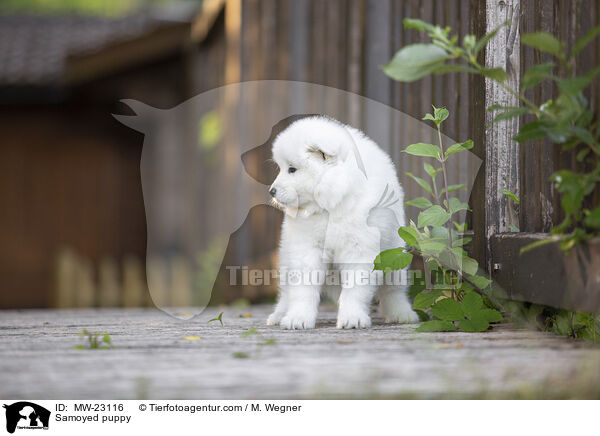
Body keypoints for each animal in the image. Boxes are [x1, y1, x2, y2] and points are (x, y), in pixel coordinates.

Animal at [268, 116, 418, 330]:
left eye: (292, 169)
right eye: (280, 168)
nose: (271, 191)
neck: (331, 206)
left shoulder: (360, 249)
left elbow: (355, 288)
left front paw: (352, 318)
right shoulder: (306, 248)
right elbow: (303, 288)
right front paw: (298, 318)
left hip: (394, 256)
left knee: (393, 291)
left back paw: (402, 314)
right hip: (286, 257)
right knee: (286, 293)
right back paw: (279, 315)